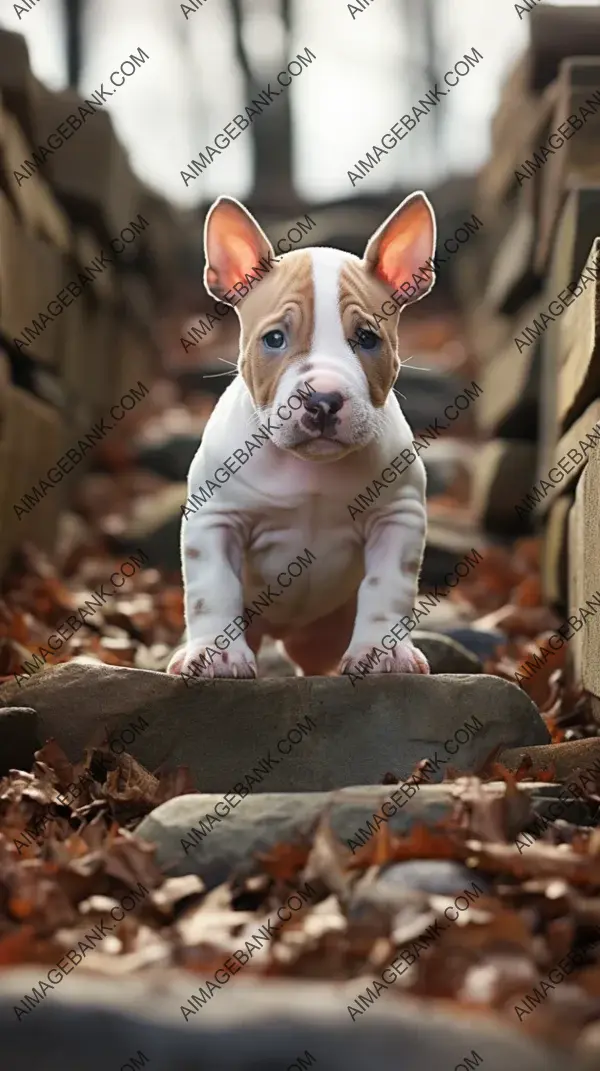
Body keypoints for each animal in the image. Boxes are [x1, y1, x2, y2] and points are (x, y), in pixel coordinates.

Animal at [166, 191, 439, 676]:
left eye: (368, 339)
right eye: (274, 339)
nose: (323, 399)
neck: (309, 469)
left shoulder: (398, 516)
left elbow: (387, 588)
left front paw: (383, 652)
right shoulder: (214, 517)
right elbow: (211, 588)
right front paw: (217, 654)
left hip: (321, 638)